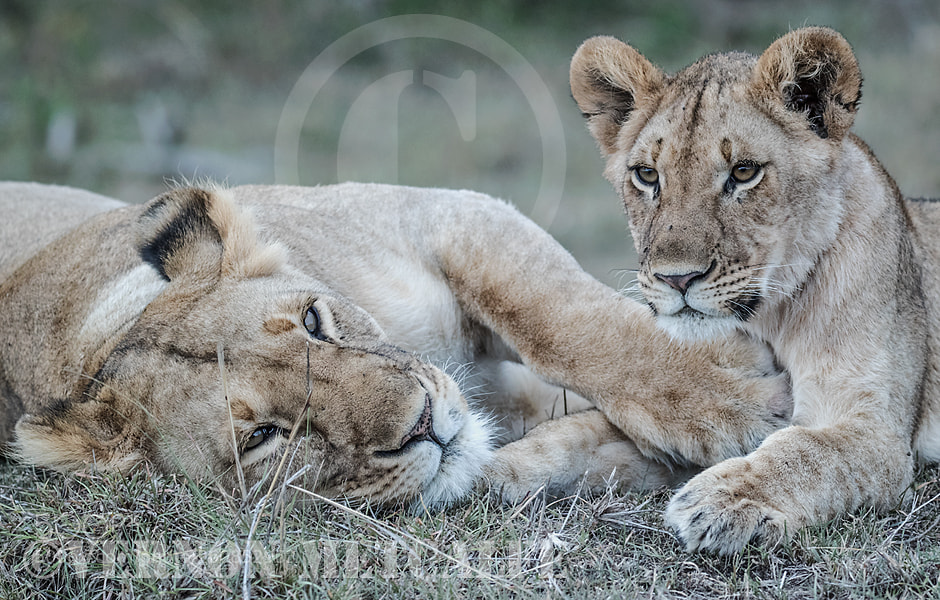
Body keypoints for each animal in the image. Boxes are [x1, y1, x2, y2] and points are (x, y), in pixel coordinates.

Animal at [0, 181, 788, 507]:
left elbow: (565, 319)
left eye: (314, 320)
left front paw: (730, 394)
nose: (424, 426)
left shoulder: (447, 214)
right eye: (263, 436)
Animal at [567, 26, 940, 553]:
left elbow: (807, 450)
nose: (676, 278)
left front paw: (721, 499)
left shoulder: (881, 436)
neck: (772, 317)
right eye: (647, 175)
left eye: (743, 172)